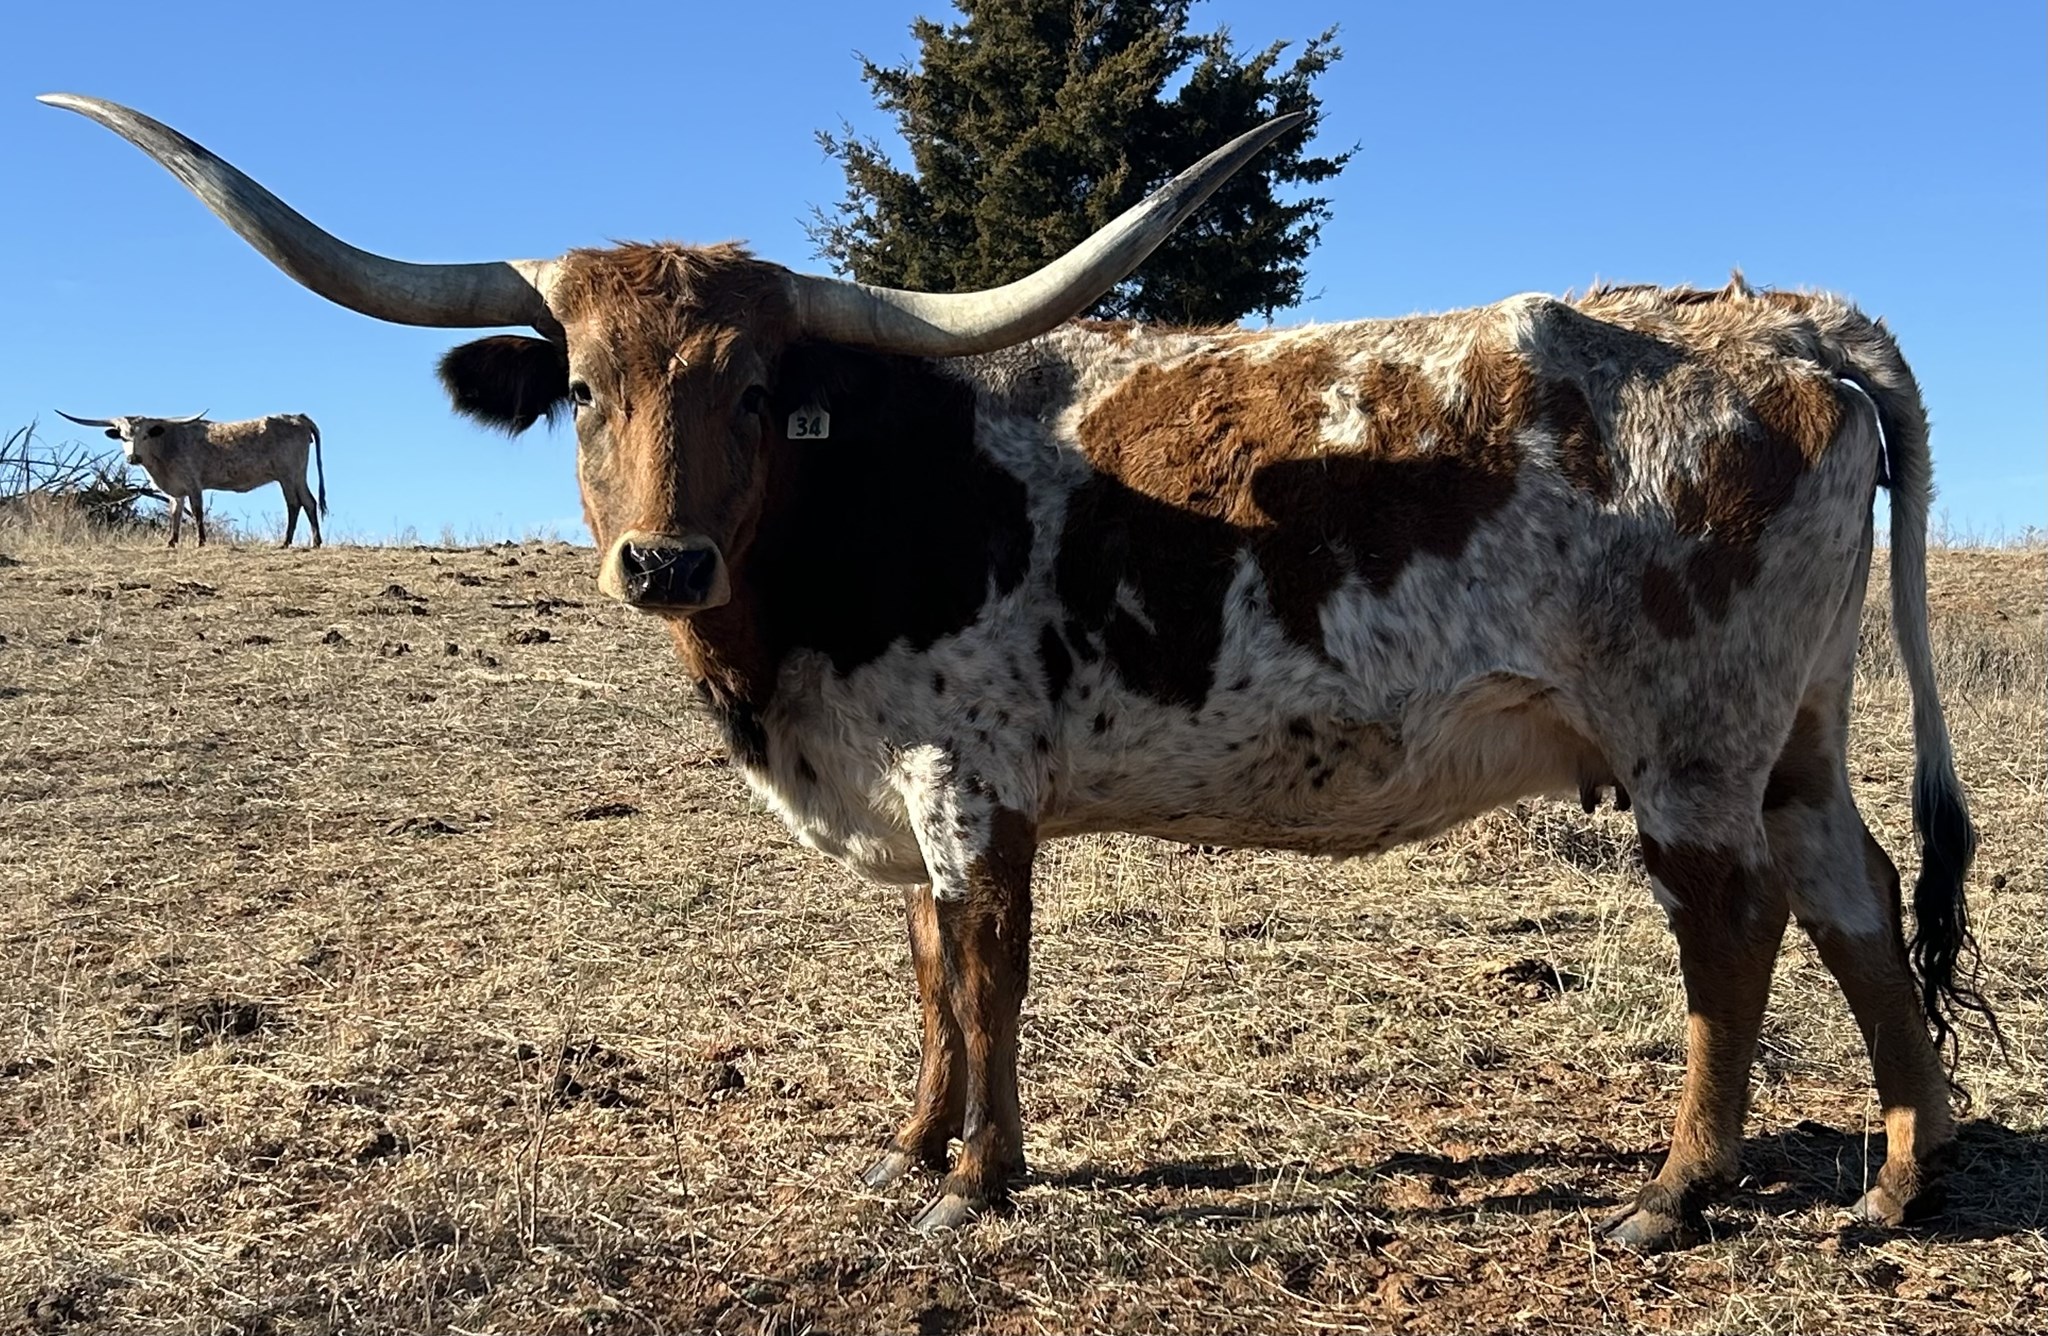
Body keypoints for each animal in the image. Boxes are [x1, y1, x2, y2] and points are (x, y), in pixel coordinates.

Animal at [54, 409, 327, 547]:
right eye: (123, 436)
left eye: (145, 435)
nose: (133, 457)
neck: (166, 444)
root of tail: (297, 416)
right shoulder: (176, 490)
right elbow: (175, 514)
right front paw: (171, 542)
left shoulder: (194, 483)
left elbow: (196, 512)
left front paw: (201, 541)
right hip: (297, 475)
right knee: (309, 502)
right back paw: (315, 542)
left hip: (287, 474)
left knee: (294, 503)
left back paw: (286, 542)